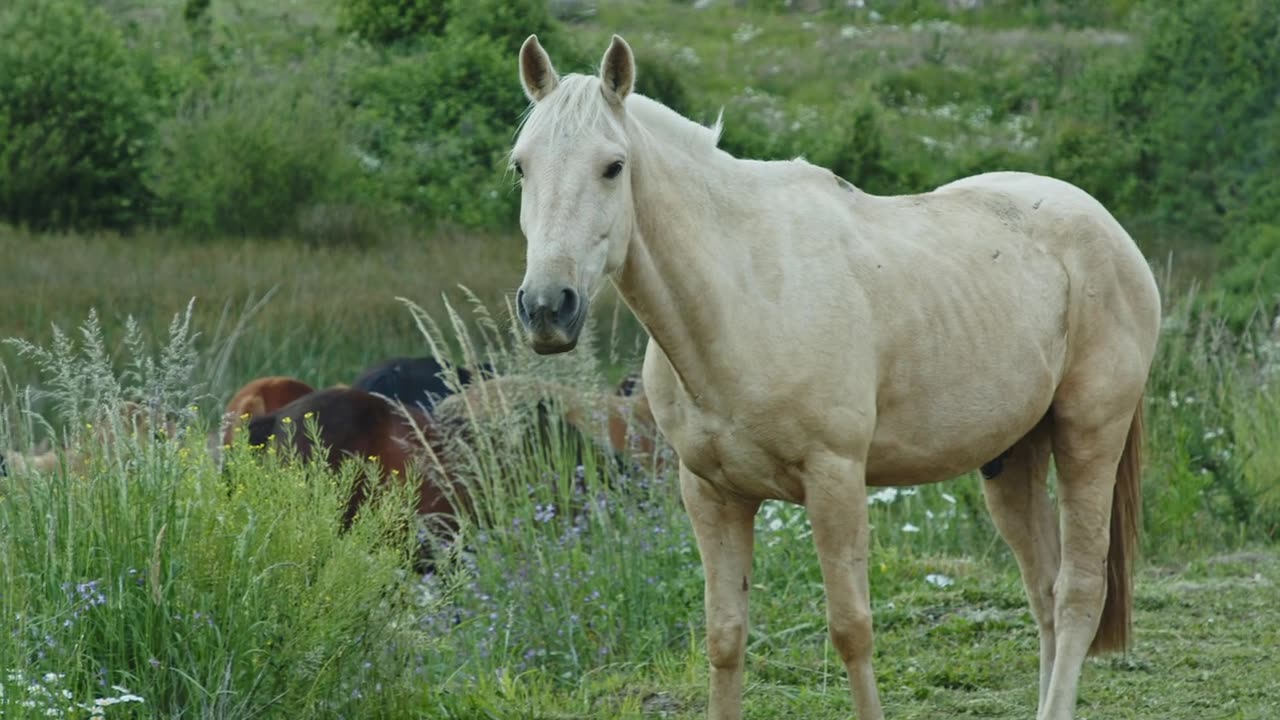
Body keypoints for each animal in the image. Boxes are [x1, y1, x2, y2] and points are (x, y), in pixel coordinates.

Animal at [506, 33, 1162, 717]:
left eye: (613, 166)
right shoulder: (712, 494)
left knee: (1078, 593)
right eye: (522, 167)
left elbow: (852, 630)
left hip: (1089, 436)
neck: (745, 294)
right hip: (1012, 459)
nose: (548, 308)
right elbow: (724, 638)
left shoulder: (835, 481)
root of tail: (1107, 227)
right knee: (1043, 591)